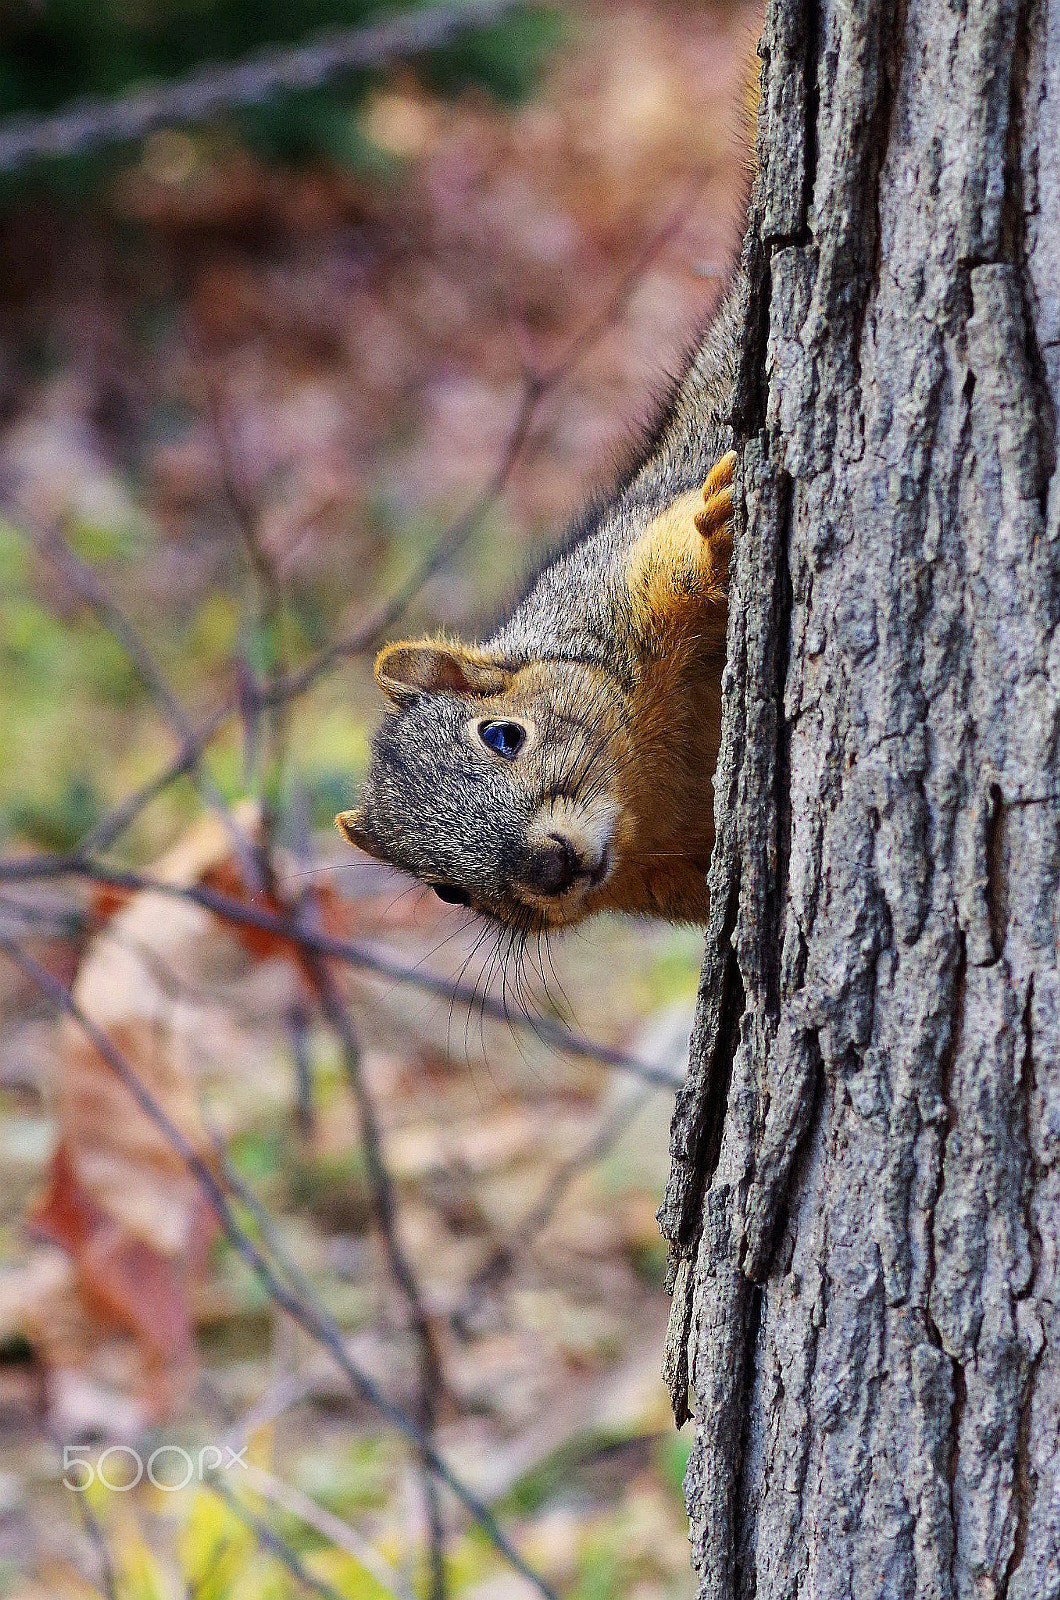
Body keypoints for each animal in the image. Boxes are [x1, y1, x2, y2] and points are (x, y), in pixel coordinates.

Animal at [336, 284, 742, 928]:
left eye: (502, 735)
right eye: (447, 891)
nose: (549, 868)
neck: (650, 793)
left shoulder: (617, 586)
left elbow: (674, 557)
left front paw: (719, 532)